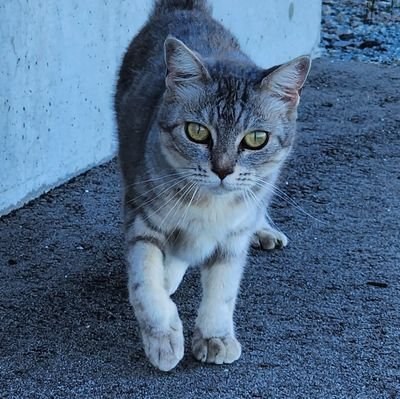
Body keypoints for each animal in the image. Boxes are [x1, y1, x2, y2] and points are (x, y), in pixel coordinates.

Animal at [114, 0, 310, 372]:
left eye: (256, 139)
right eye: (197, 132)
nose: (222, 169)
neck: (208, 206)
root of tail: (183, 10)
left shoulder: (233, 236)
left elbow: (223, 287)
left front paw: (215, 335)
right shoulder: (143, 214)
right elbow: (144, 281)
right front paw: (162, 335)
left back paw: (263, 230)